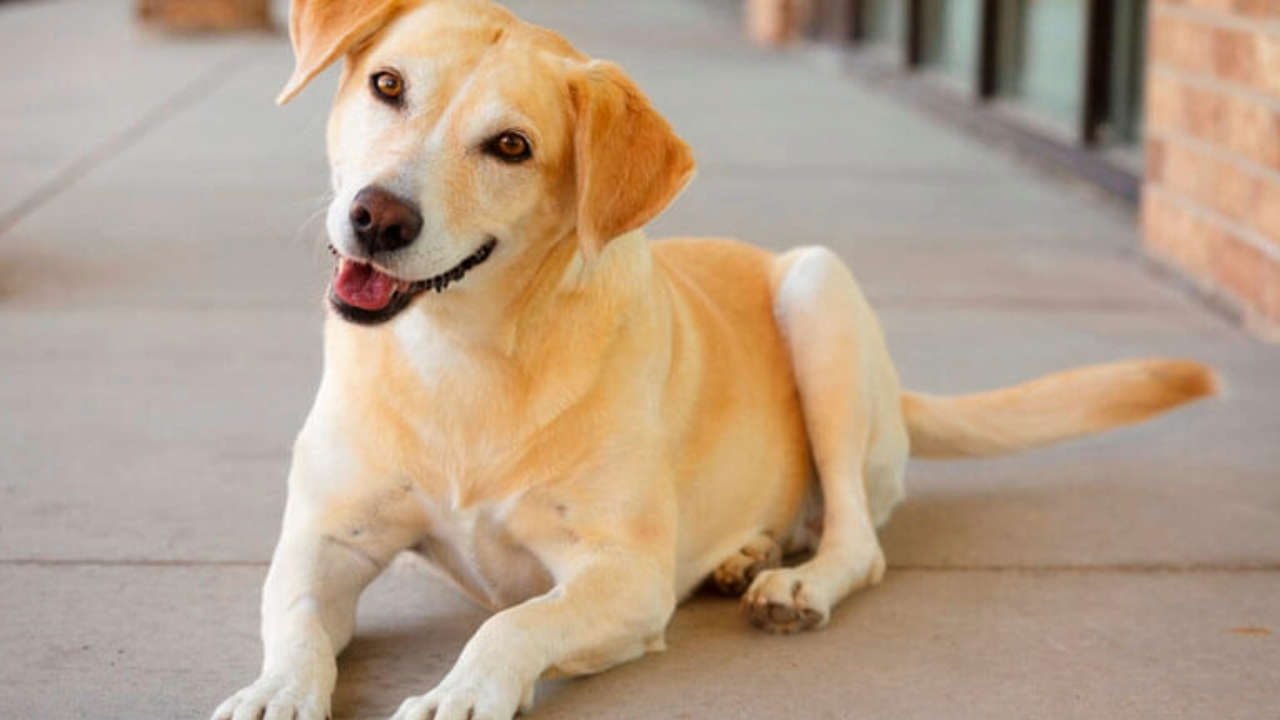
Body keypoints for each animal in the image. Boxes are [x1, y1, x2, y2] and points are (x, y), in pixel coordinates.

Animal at [212, 2, 1218, 712]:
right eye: (387, 85)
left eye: (510, 146)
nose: (377, 218)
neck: (459, 353)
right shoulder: (323, 542)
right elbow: (295, 626)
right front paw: (274, 692)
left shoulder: (625, 578)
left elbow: (513, 622)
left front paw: (461, 692)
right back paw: (744, 551)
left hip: (818, 293)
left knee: (858, 537)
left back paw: (797, 579)